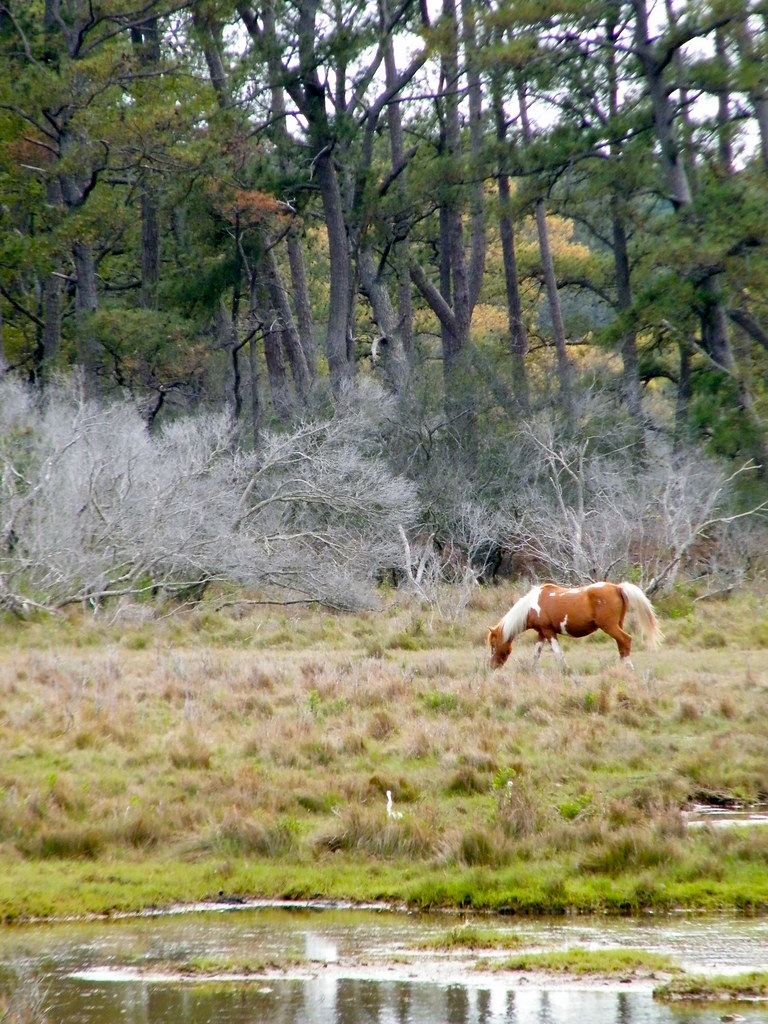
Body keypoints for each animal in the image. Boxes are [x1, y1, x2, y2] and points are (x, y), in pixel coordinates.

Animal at [487, 581, 662, 670]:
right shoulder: (542, 633)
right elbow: (536, 653)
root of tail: (617, 587)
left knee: (625, 640)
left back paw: (628, 667)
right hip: (617, 624)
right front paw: (533, 670)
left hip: (610, 626)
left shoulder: (549, 632)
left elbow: (558, 653)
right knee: (621, 644)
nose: (491, 666)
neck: (532, 604)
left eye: (493, 645)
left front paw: (565, 670)